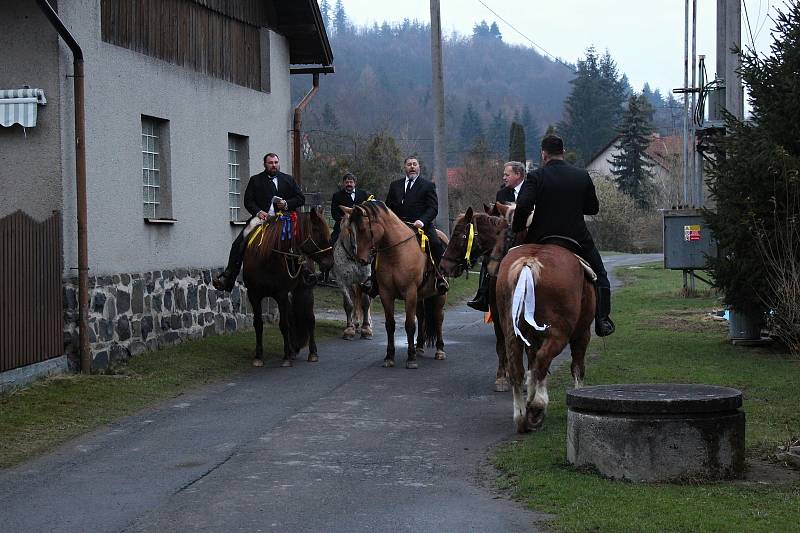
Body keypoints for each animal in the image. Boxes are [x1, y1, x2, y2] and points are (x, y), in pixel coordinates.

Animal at [241, 207, 334, 366]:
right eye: (317, 231)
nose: (330, 263)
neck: (267, 259)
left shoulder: (281, 295)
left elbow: (284, 324)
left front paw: (286, 358)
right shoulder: (254, 295)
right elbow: (258, 324)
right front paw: (258, 356)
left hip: (305, 291)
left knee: (310, 319)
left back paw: (312, 353)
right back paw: (292, 350)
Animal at [340, 202, 446, 368]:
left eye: (363, 229)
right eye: (351, 231)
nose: (360, 260)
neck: (396, 253)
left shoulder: (410, 292)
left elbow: (410, 325)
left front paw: (411, 359)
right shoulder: (386, 294)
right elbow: (390, 325)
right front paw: (389, 357)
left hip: (439, 294)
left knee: (438, 317)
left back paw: (439, 350)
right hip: (420, 295)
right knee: (421, 315)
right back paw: (419, 347)